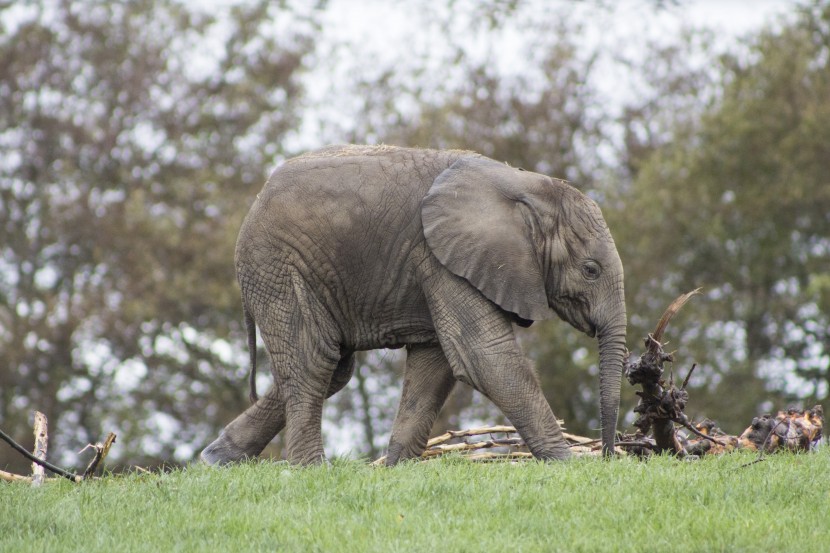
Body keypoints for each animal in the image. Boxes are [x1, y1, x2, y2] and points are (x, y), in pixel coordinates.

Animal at [202, 144, 628, 464]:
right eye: (590, 270)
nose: (609, 454)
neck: (527, 185)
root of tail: (255, 202)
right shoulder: (441, 258)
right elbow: (484, 356)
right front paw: (568, 464)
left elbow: (434, 365)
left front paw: (394, 468)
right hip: (278, 264)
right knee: (314, 360)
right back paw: (310, 470)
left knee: (332, 365)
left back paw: (217, 458)